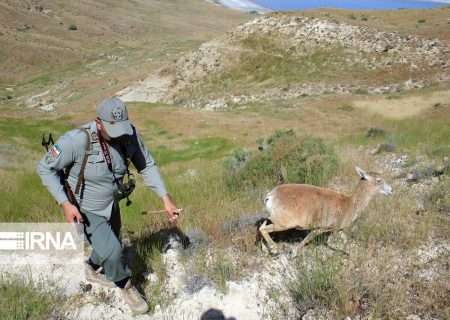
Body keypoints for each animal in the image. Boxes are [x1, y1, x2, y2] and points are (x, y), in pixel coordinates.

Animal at [258, 168, 392, 255]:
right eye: (379, 180)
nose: (391, 190)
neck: (349, 204)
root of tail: (270, 196)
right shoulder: (322, 227)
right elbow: (311, 238)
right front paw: (294, 252)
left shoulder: (338, 229)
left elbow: (345, 240)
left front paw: (350, 253)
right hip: (284, 223)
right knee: (263, 229)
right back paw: (274, 248)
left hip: (275, 218)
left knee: (262, 226)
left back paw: (266, 249)